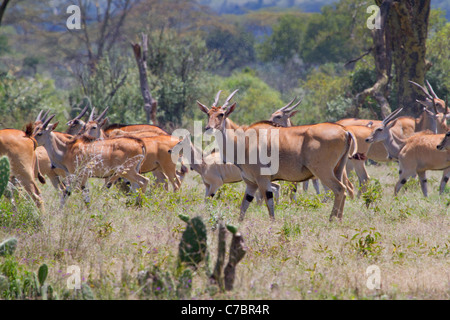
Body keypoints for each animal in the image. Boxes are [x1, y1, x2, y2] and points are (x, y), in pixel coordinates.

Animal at [199, 89, 356, 220]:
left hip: (323, 172)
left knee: (339, 189)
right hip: (338, 170)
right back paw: (339, 220)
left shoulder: (262, 180)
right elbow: (244, 207)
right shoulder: (251, 183)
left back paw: (331, 220)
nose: (208, 128)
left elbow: (269, 205)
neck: (245, 140)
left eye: (221, 114)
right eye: (208, 114)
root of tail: (345, 131)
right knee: (344, 190)